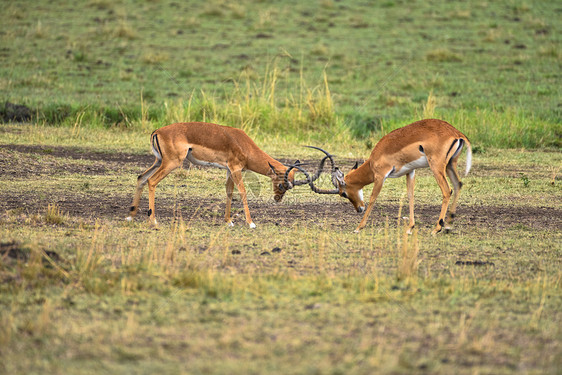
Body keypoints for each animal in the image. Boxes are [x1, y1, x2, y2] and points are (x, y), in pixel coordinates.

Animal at [124, 123, 308, 229]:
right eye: (282, 184)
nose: (277, 199)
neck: (244, 145)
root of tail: (157, 131)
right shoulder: (235, 168)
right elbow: (242, 192)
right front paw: (251, 223)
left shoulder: (229, 169)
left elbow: (229, 192)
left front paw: (228, 221)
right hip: (171, 163)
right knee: (151, 181)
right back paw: (153, 220)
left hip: (159, 161)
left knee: (141, 178)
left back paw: (130, 216)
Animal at [294, 119, 472, 235]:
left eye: (343, 193)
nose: (359, 209)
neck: (374, 159)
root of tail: (457, 133)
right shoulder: (410, 172)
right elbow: (410, 196)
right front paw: (410, 228)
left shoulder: (380, 176)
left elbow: (373, 198)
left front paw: (358, 227)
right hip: (450, 165)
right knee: (458, 185)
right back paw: (448, 225)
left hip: (437, 166)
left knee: (447, 190)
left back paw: (437, 228)